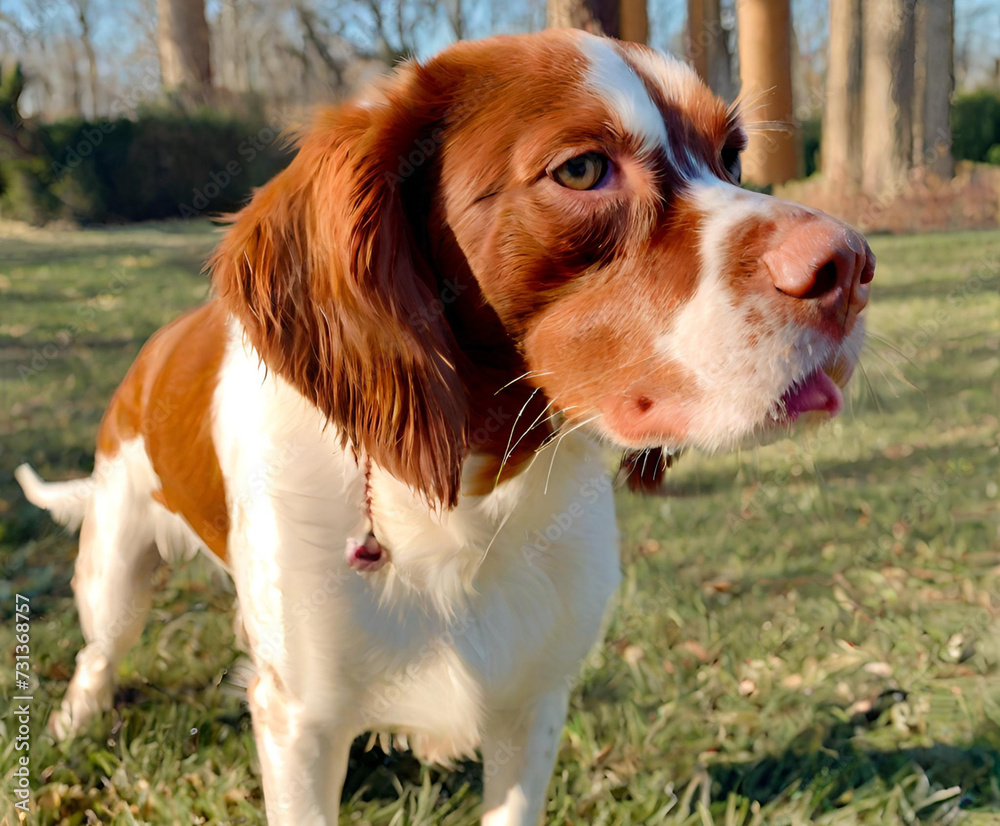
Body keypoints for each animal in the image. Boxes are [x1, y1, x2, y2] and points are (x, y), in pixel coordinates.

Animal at [17, 29, 876, 824]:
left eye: (731, 156)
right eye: (581, 169)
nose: (853, 265)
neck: (468, 504)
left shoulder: (532, 706)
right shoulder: (299, 722)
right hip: (114, 564)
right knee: (98, 651)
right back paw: (70, 723)